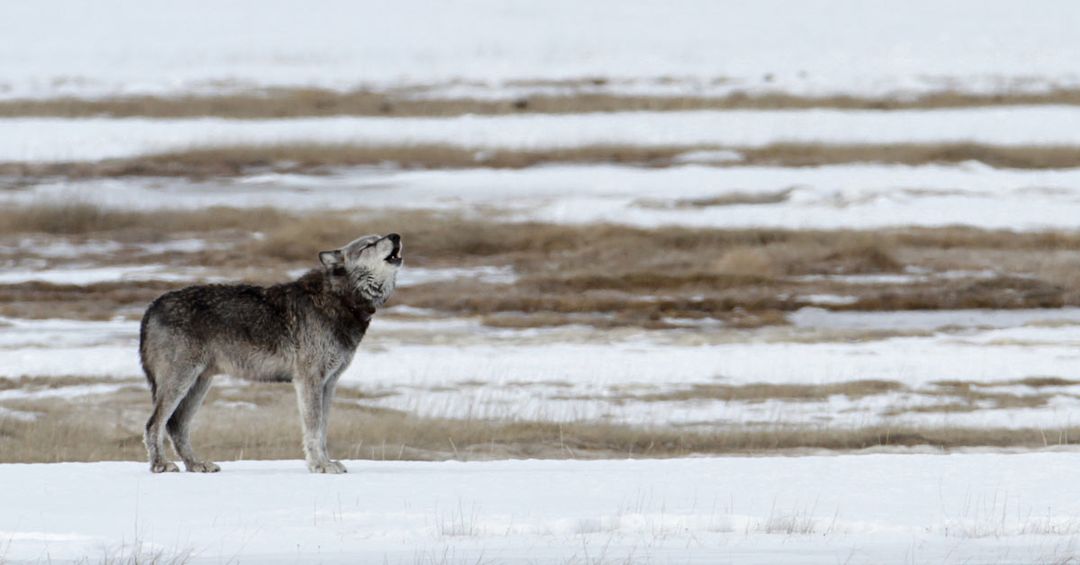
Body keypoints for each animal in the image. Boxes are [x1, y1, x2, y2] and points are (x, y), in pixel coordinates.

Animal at [140, 233, 403, 474]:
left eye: (380, 236)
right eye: (369, 244)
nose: (395, 236)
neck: (340, 299)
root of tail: (152, 306)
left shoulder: (329, 383)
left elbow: (323, 429)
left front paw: (327, 462)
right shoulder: (309, 380)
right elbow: (314, 429)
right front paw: (319, 466)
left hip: (199, 384)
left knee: (176, 425)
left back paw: (196, 464)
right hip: (180, 382)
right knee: (154, 424)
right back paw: (160, 465)